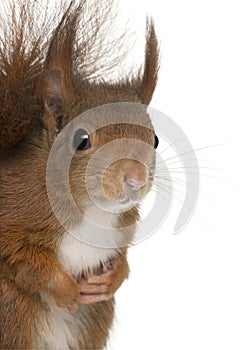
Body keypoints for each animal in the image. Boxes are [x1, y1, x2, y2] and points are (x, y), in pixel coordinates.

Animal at [0, 1, 159, 348]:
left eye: (154, 139)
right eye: (82, 140)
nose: (136, 179)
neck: (93, 208)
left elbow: (122, 255)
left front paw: (114, 276)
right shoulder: (10, 213)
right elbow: (19, 257)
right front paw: (66, 289)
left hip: (95, 316)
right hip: (13, 310)